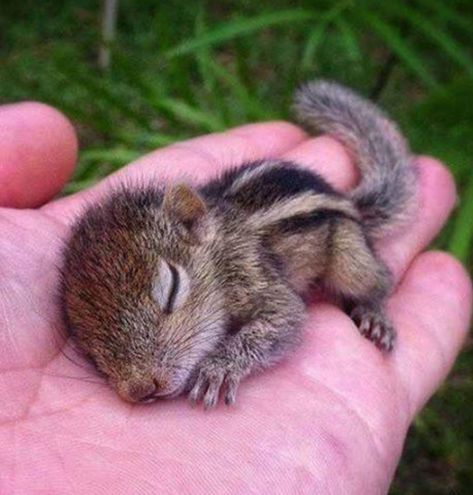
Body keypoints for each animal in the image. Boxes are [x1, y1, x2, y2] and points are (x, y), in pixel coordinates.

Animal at [60, 80, 416, 406]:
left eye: (172, 289)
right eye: (86, 341)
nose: (140, 390)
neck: (220, 249)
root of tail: (346, 200)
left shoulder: (254, 276)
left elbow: (286, 319)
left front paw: (218, 367)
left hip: (349, 254)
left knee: (378, 280)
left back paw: (374, 314)